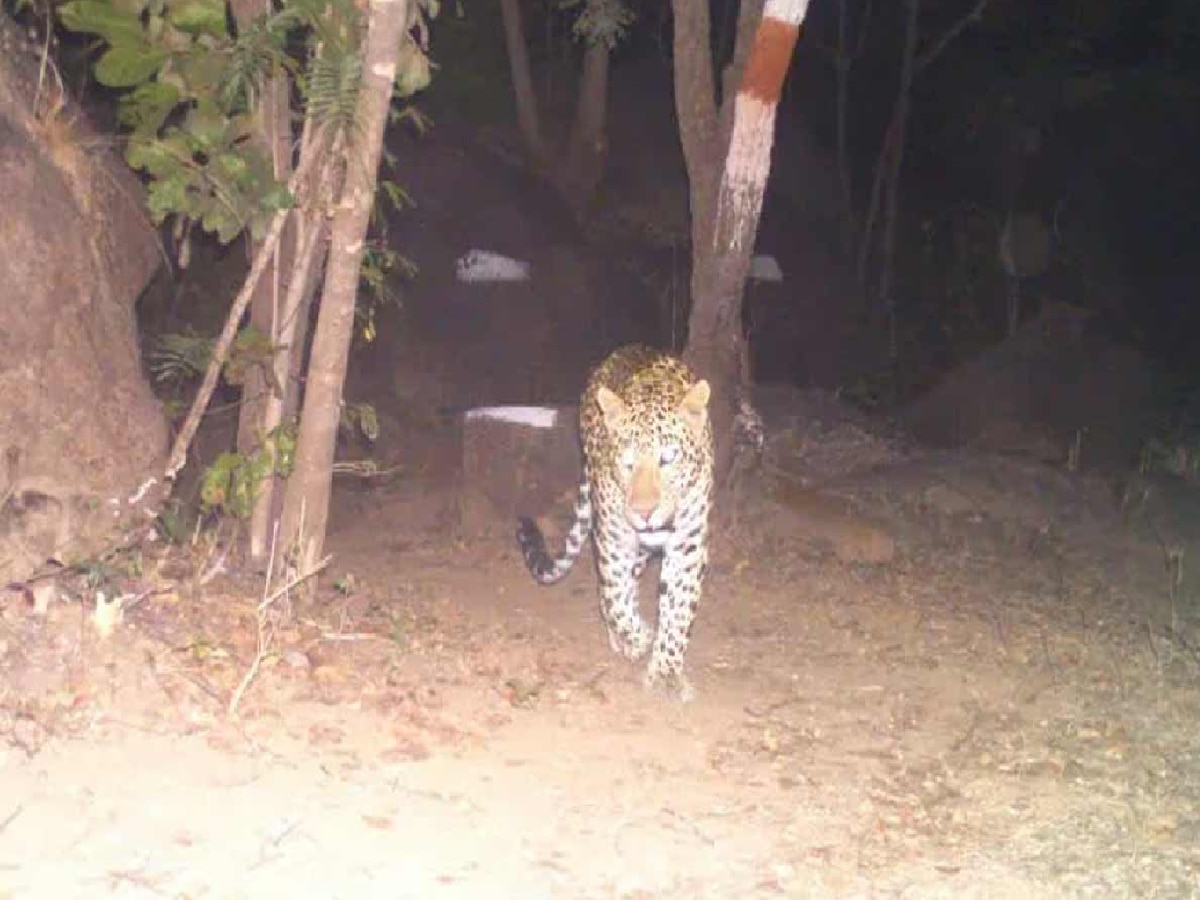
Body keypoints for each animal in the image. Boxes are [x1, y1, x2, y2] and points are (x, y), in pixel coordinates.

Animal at [513, 345, 710, 705]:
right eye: (626, 462)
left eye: (668, 458)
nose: (644, 513)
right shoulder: (614, 539)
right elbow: (616, 597)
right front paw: (640, 637)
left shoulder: (687, 547)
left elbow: (677, 612)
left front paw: (667, 672)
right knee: (611, 589)